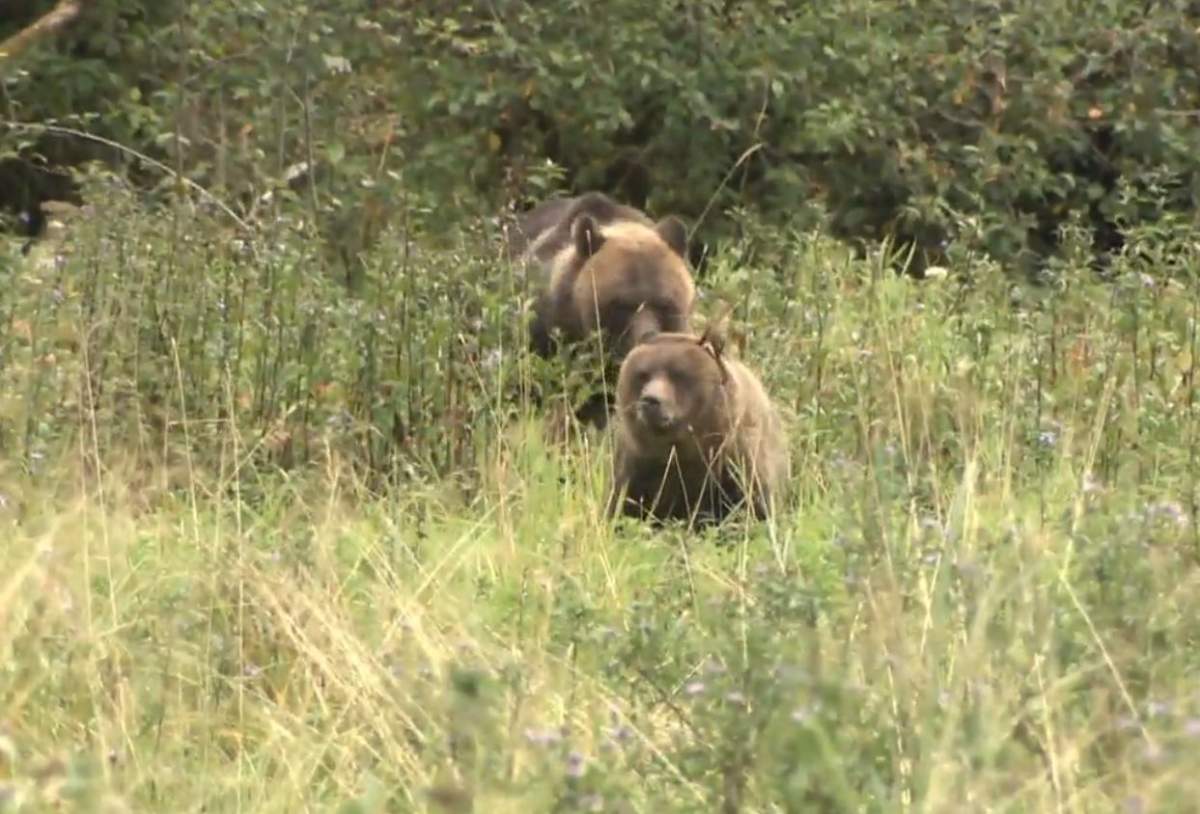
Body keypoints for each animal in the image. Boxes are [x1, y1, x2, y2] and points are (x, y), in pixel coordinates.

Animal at [607, 328, 790, 526]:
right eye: (643, 374)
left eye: (678, 375)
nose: (650, 399)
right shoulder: (639, 466)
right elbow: (624, 507)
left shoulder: (736, 463)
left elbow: (753, 508)